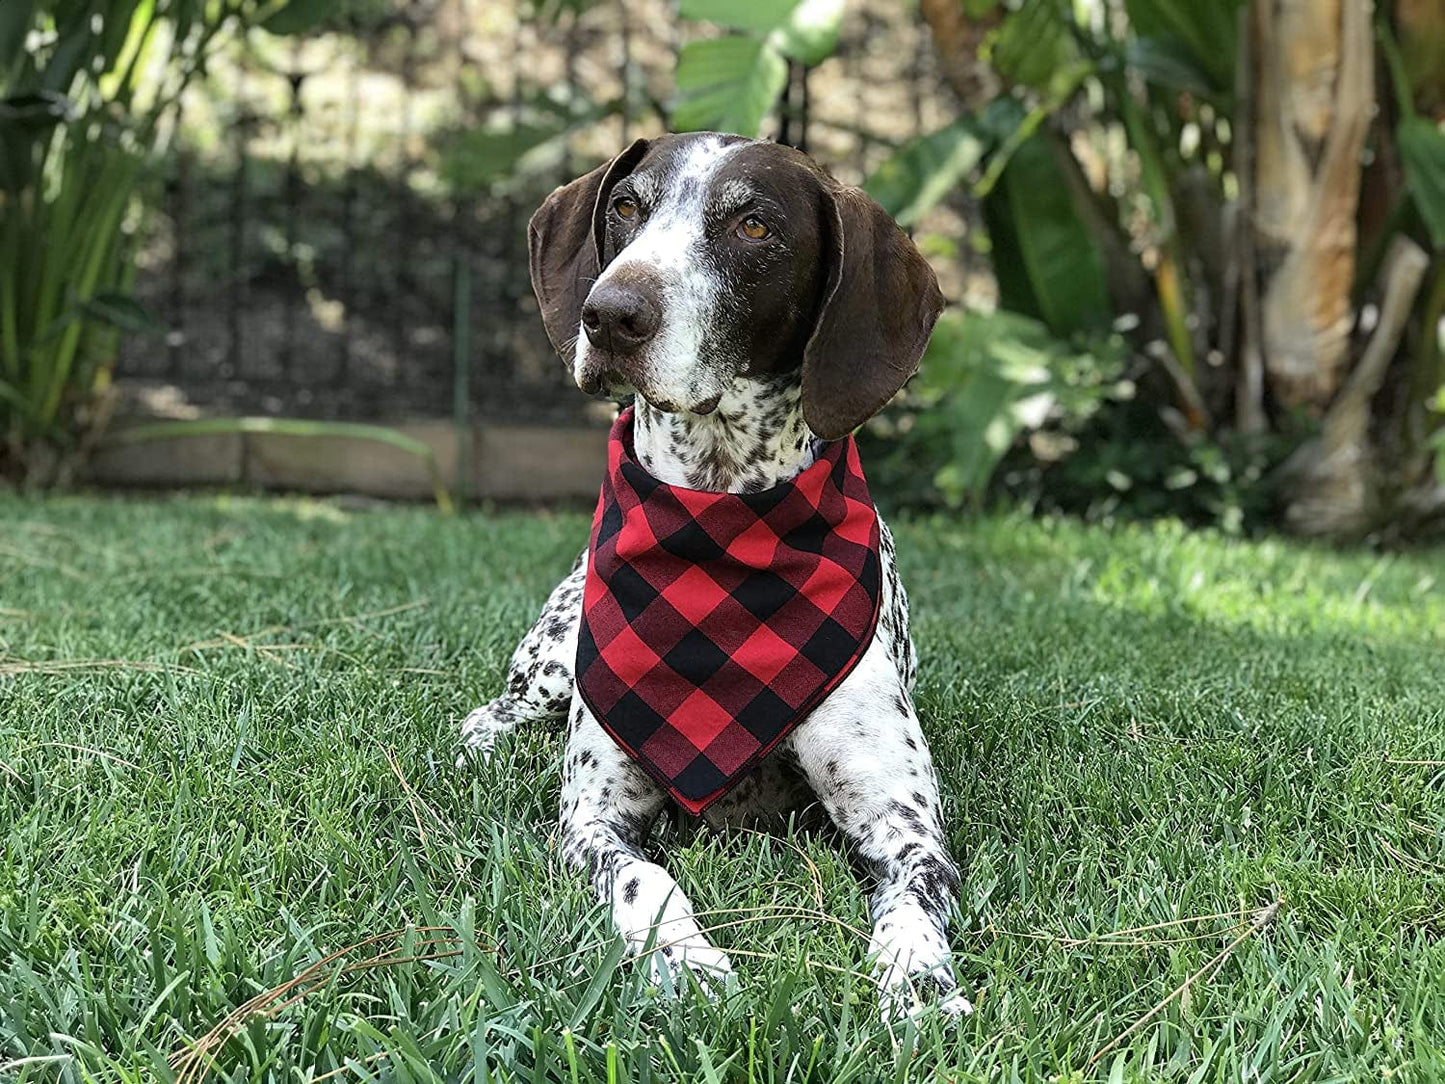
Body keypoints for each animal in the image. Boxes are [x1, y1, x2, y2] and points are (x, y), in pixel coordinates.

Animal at [456, 131, 965, 1023]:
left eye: (754, 226)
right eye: (627, 207)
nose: (609, 313)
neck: (718, 511)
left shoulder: (905, 826)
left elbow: (913, 901)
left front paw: (916, 982)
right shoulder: (592, 819)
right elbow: (645, 879)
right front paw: (684, 961)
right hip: (553, 662)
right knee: (497, 711)